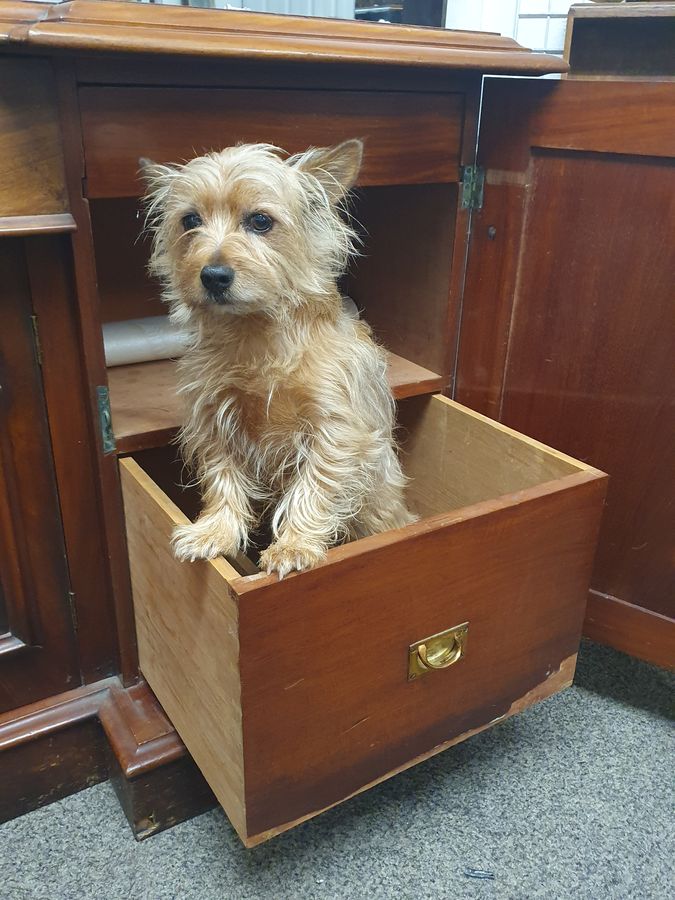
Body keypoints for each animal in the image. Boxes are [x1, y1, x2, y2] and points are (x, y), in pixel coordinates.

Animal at [142, 141, 414, 576]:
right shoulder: (214, 420)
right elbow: (222, 479)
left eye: (260, 221)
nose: (213, 275)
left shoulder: (335, 427)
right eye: (190, 220)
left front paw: (294, 544)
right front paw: (214, 531)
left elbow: (315, 484)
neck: (256, 335)